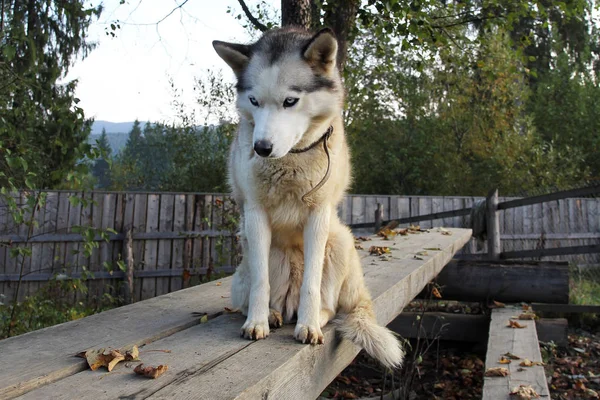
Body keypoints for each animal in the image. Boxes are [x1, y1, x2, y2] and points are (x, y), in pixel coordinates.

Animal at [213, 26, 406, 368]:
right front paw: (256, 322)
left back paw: (316, 317)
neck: (291, 160)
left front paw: (309, 324)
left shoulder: (319, 215)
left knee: (330, 304)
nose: (261, 147)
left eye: (290, 101)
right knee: (261, 291)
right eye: (254, 100)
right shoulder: (255, 214)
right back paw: (272, 314)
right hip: (249, 264)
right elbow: (261, 283)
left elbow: (312, 286)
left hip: (339, 241)